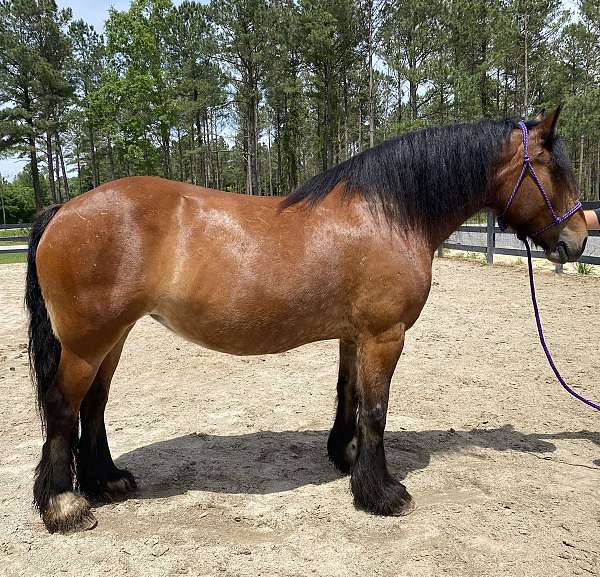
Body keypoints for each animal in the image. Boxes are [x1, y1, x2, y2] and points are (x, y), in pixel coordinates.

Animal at [27, 107, 584, 532]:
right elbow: (376, 410)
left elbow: (349, 395)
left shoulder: (355, 335)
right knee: (63, 408)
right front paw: (382, 493)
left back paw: (107, 481)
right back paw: (64, 506)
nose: (578, 240)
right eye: (552, 169)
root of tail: (64, 209)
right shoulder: (385, 336)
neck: (387, 214)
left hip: (112, 337)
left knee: (94, 406)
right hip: (86, 342)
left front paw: (346, 458)